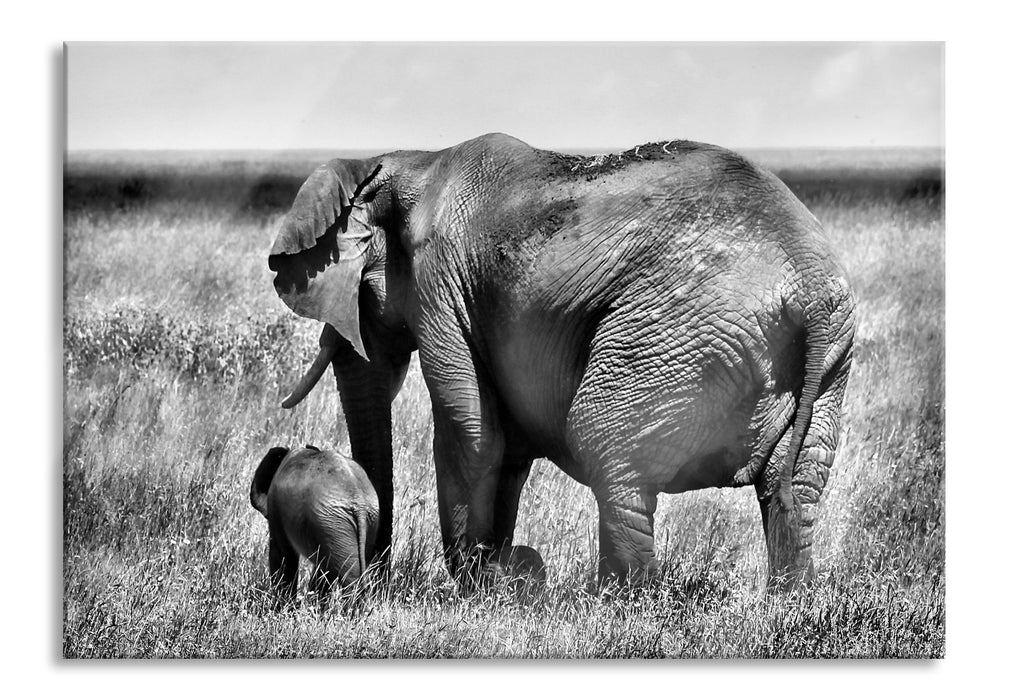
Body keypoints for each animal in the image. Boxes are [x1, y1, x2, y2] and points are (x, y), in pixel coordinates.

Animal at [250, 447, 379, 605]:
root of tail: (358, 501)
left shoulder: (275, 507)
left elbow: (283, 554)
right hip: (355, 521)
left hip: (332, 522)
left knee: (349, 577)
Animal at [268, 133, 851, 593]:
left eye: (362, 293)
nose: (377, 579)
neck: (409, 161)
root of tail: (807, 280)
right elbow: (507, 445)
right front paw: (497, 575)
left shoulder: (440, 285)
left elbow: (472, 429)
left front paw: (478, 586)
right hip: (827, 362)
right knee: (795, 482)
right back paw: (788, 604)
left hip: (673, 332)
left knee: (603, 442)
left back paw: (622, 604)